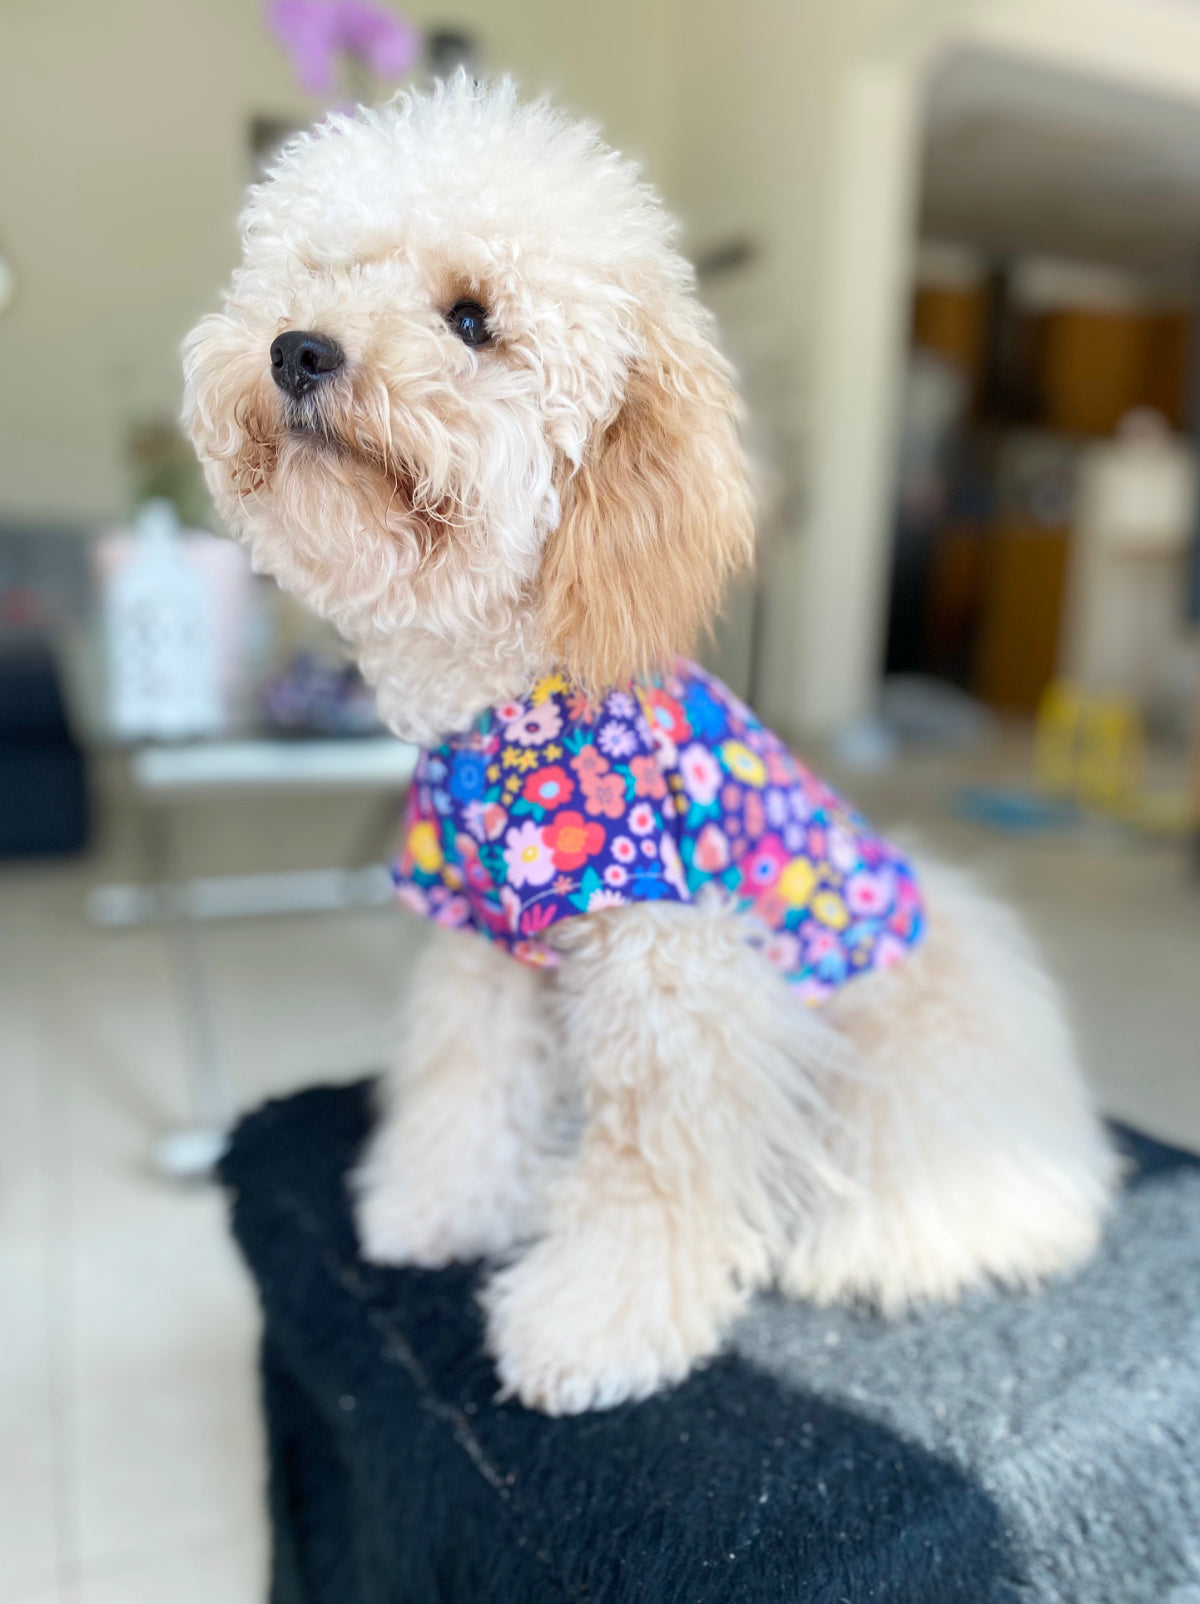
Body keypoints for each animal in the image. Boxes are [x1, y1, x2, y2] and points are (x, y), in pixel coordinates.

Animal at [182, 75, 1122, 1411]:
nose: (297, 347)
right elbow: (465, 1084)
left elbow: (648, 1172)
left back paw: (898, 1239)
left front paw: (591, 1326)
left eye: (471, 319)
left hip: (898, 1048)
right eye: (323, 272)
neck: (506, 703)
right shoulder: (484, 952)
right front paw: (435, 1204)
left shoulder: (675, 982)